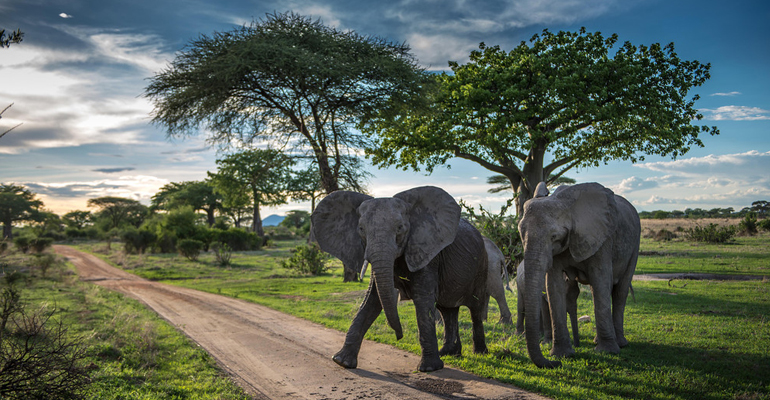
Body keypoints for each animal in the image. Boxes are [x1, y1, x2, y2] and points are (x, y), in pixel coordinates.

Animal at [520, 182, 640, 368]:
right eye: (520, 234)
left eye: (554, 236)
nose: (555, 364)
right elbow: (554, 287)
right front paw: (562, 355)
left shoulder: (602, 238)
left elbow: (600, 281)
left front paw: (607, 352)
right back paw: (599, 341)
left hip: (635, 245)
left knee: (620, 291)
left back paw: (619, 343)